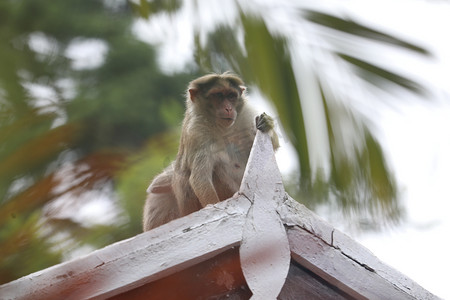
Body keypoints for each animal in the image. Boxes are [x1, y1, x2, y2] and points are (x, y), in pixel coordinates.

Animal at [143, 71, 278, 231]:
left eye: (231, 96)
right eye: (218, 95)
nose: (228, 108)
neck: (222, 128)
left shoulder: (247, 113)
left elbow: (273, 144)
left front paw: (267, 123)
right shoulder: (196, 132)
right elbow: (199, 178)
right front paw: (217, 209)